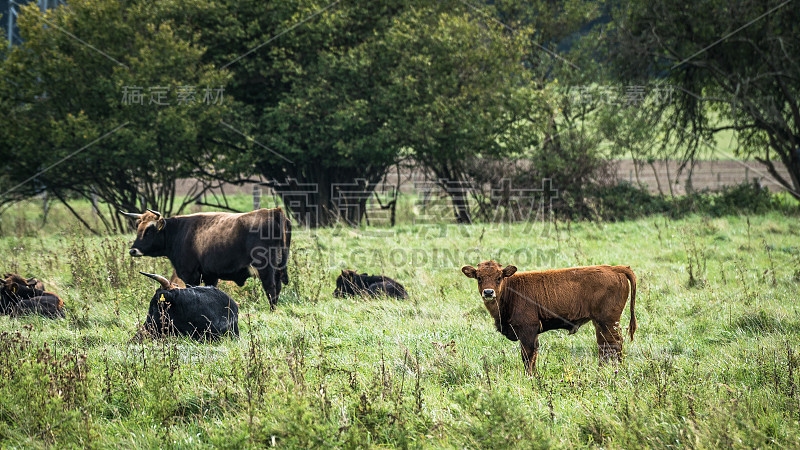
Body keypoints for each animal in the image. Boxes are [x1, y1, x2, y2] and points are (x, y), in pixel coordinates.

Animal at [462, 260, 636, 372]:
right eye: (479, 278)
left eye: (499, 277)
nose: (488, 292)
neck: (511, 289)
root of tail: (615, 268)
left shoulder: (527, 331)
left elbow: (528, 358)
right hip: (600, 323)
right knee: (604, 346)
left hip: (609, 322)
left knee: (615, 345)